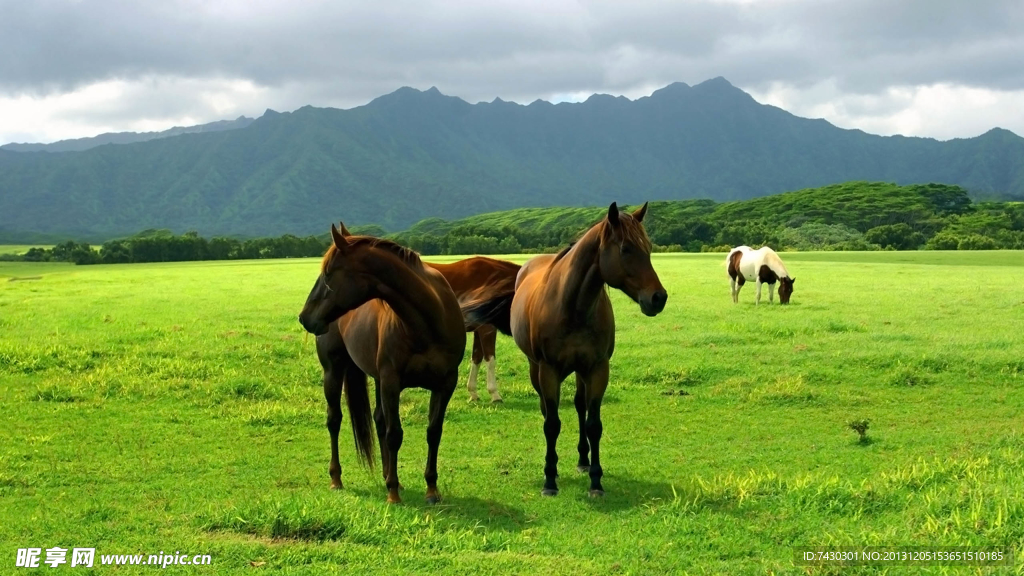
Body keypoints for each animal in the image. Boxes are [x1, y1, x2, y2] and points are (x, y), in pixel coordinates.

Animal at [296, 222, 464, 500]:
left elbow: (433, 432)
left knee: (378, 419)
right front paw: (393, 493)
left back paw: (386, 475)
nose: (304, 317)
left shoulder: (446, 384)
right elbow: (394, 434)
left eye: (329, 273)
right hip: (334, 371)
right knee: (334, 420)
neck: (428, 322)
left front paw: (431, 488)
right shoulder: (391, 382)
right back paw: (337, 478)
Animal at [425, 258, 524, 401]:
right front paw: (494, 394)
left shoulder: (478, 330)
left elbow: (476, 358)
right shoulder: (487, 328)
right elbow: (490, 360)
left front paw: (473, 393)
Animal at [466, 200, 671, 494]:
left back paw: (583, 460)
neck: (573, 306)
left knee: (579, 405)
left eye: (649, 248)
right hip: (536, 368)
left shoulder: (597, 369)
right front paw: (550, 479)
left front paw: (595, 480)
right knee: (546, 409)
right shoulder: (549, 370)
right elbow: (551, 424)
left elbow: (593, 423)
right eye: (625, 249)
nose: (658, 298)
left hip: (580, 371)